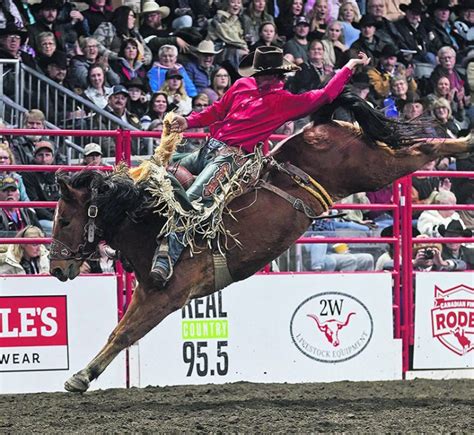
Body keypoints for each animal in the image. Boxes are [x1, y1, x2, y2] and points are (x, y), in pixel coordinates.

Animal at [49, 92, 474, 392]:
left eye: (65, 219)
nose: (55, 267)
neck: (153, 221)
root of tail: (317, 124)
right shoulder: (146, 292)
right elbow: (118, 331)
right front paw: (82, 375)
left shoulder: (166, 296)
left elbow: (127, 333)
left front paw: (79, 378)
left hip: (373, 168)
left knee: (424, 150)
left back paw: (464, 142)